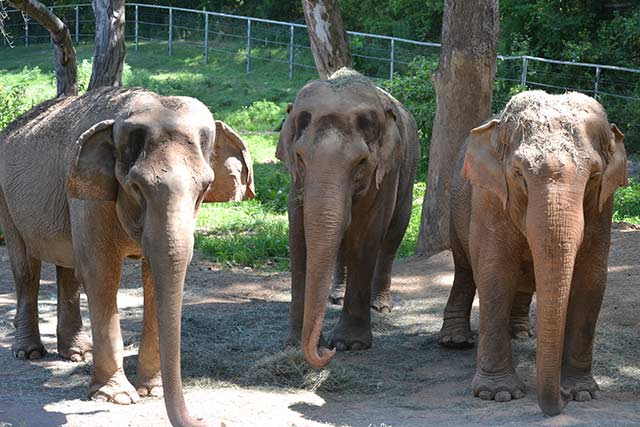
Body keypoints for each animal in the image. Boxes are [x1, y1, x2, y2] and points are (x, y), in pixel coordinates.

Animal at [0, 87, 255, 427]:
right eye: (136, 186)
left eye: (205, 187)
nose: (209, 420)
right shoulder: (88, 197)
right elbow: (101, 272)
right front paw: (117, 397)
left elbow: (153, 277)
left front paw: (152, 391)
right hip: (6, 198)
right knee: (26, 266)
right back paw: (29, 353)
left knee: (67, 267)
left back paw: (78, 353)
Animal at [276, 67, 420, 368]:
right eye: (300, 157)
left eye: (361, 162)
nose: (326, 351)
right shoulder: (296, 181)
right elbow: (299, 235)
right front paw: (293, 344)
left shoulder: (386, 172)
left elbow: (368, 235)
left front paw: (349, 344)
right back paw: (336, 296)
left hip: (410, 171)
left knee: (393, 234)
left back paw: (380, 306)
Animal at [438, 91, 628, 418]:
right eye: (518, 174)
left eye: (594, 177)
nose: (561, 398)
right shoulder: (490, 197)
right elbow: (494, 274)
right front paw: (497, 394)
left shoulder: (603, 207)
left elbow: (591, 280)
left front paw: (582, 393)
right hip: (456, 204)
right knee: (464, 268)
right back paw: (454, 341)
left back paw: (521, 333)